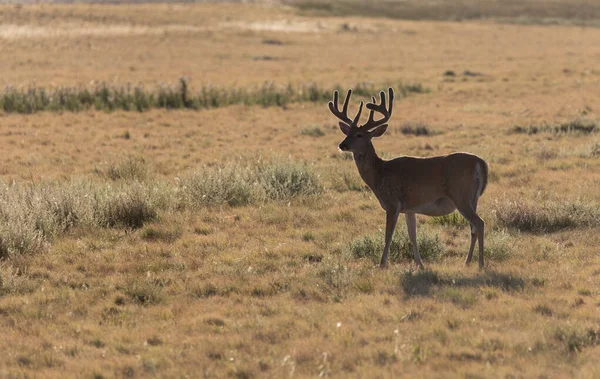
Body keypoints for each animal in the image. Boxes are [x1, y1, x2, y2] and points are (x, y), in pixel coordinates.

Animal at [328, 87, 488, 268]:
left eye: (360, 135)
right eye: (348, 132)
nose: (342, 145)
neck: (379, 173)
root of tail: (480, 163)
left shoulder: (392, 203)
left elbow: (388, 236)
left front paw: (382, 265)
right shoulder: (410, 208)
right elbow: (413, 236)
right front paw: (420, 265)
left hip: (461, 196)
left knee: (479, 223)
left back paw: (481, 263)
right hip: (473, 199)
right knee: (473, 228)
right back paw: (467, 262)